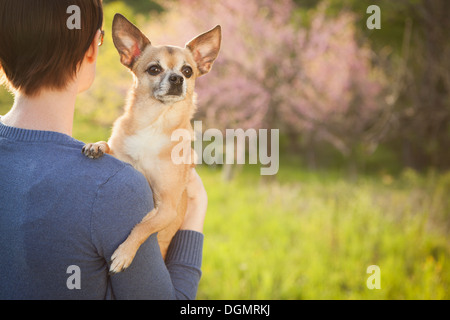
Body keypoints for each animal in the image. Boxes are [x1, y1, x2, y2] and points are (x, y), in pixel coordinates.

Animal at [83, 15, 222, 274]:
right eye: (154, 69)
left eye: (188, 71)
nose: (177, 78)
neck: (155, 122)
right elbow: (110, 146)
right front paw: (97, 145)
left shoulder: (166, 208)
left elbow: (142, 227)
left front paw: (124, 253)